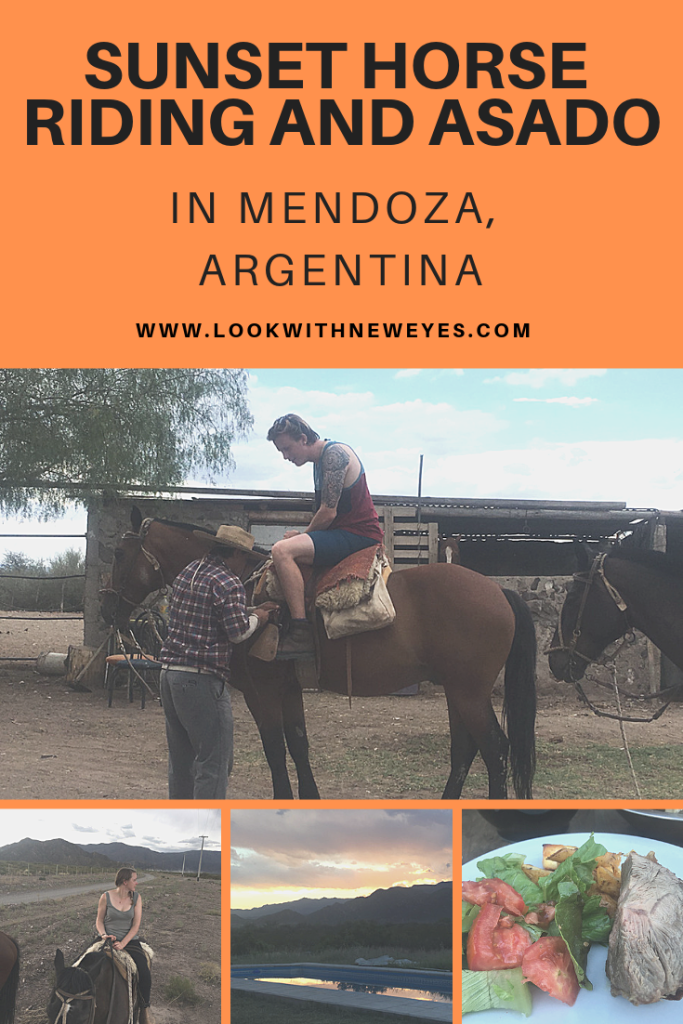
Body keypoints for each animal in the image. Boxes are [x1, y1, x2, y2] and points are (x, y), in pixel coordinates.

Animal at [100, 508, 538, 799]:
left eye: (119, 555)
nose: (106, 609)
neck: (245, 584)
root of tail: (497, 590)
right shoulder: (289, 689)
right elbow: (298, 744)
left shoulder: (261, 692)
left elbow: (275, 749)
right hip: (457, 691)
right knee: (465, 750)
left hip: (468, 692)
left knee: (495, 750)